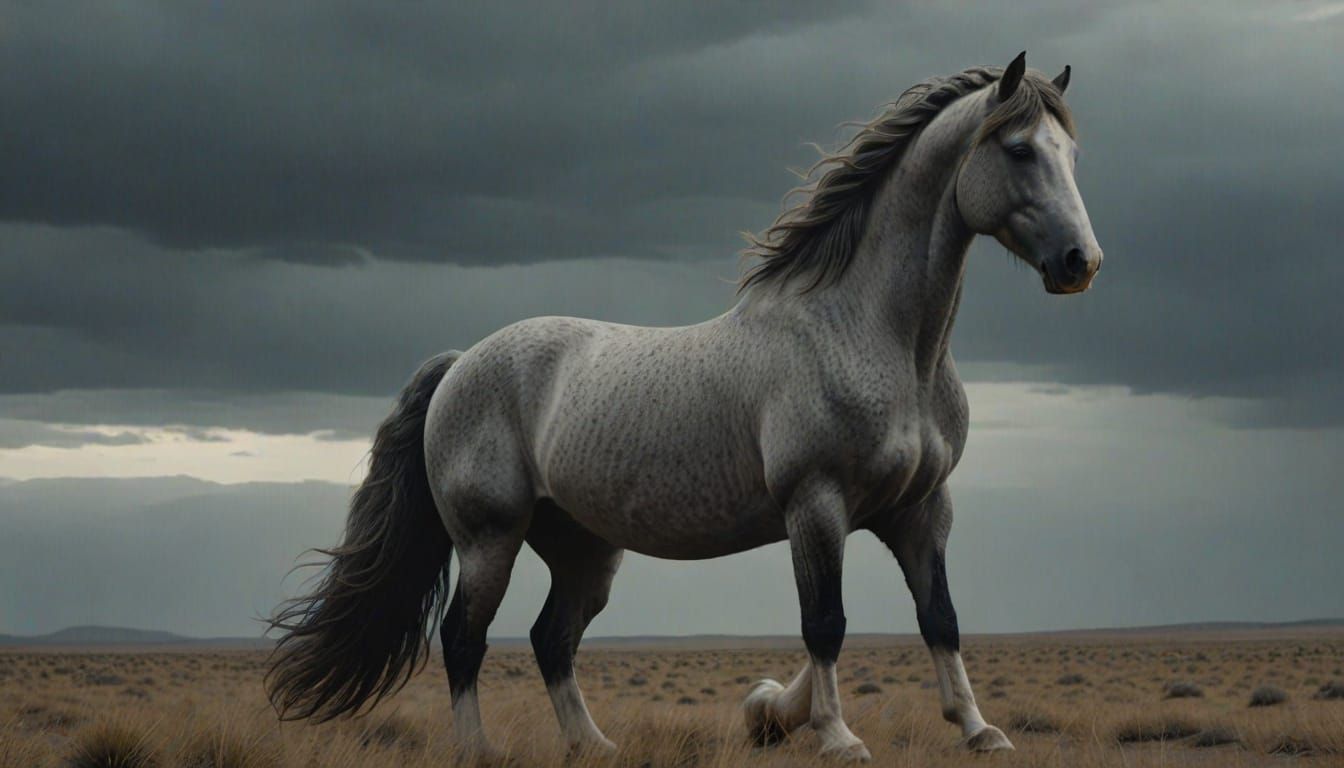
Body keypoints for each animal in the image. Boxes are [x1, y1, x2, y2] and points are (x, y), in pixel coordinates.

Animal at [267, 51, 1102, 762]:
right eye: (1019, 150)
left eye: (1071, 154)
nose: (1080, 263)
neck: (881, 339)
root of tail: (459, 365)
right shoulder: (817, 506)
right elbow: (825, 623)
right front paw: (832, 734)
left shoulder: (922, 510)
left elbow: (939, 619)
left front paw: (972, 728)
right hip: (489, 539)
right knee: (465, 638)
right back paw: (478, 750)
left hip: (581, 548)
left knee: (551, 639)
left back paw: (594, 746)